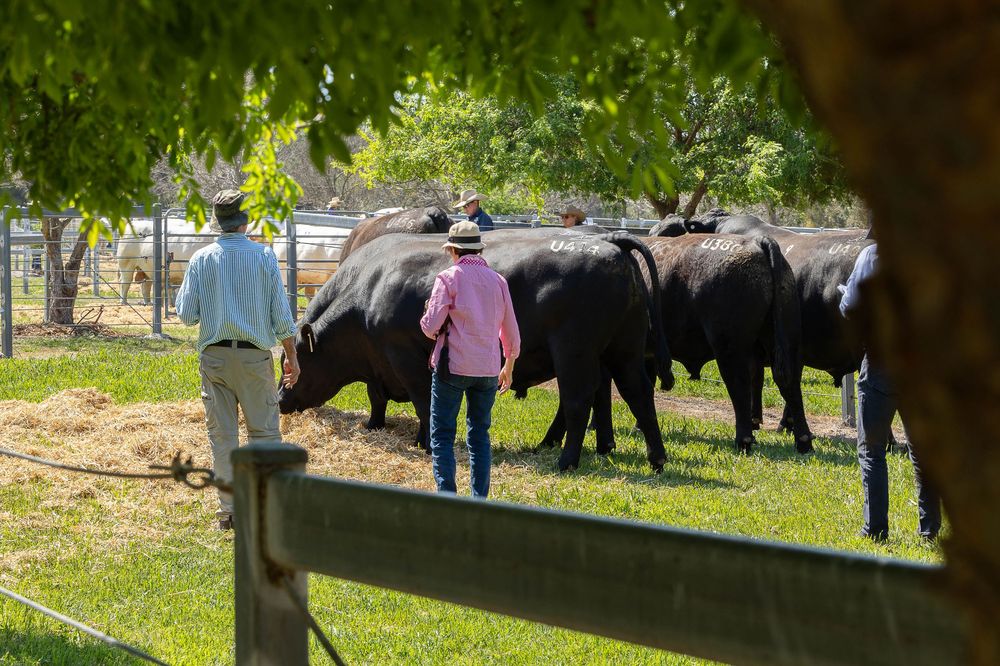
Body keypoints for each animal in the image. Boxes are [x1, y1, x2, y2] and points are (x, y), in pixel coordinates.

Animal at [278, 228, 674, 473]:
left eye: (289, 365)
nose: (281, 400)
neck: (368, 290)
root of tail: (610, 243)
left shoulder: (403, 357)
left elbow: (422, 400)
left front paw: (425, 442)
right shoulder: (379, 363)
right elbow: (377, 397)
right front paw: (374, 425)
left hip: (574, 350)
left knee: (579, 399)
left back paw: (566, 460)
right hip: (624, 347)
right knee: (637, 392)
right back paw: (655, 459)